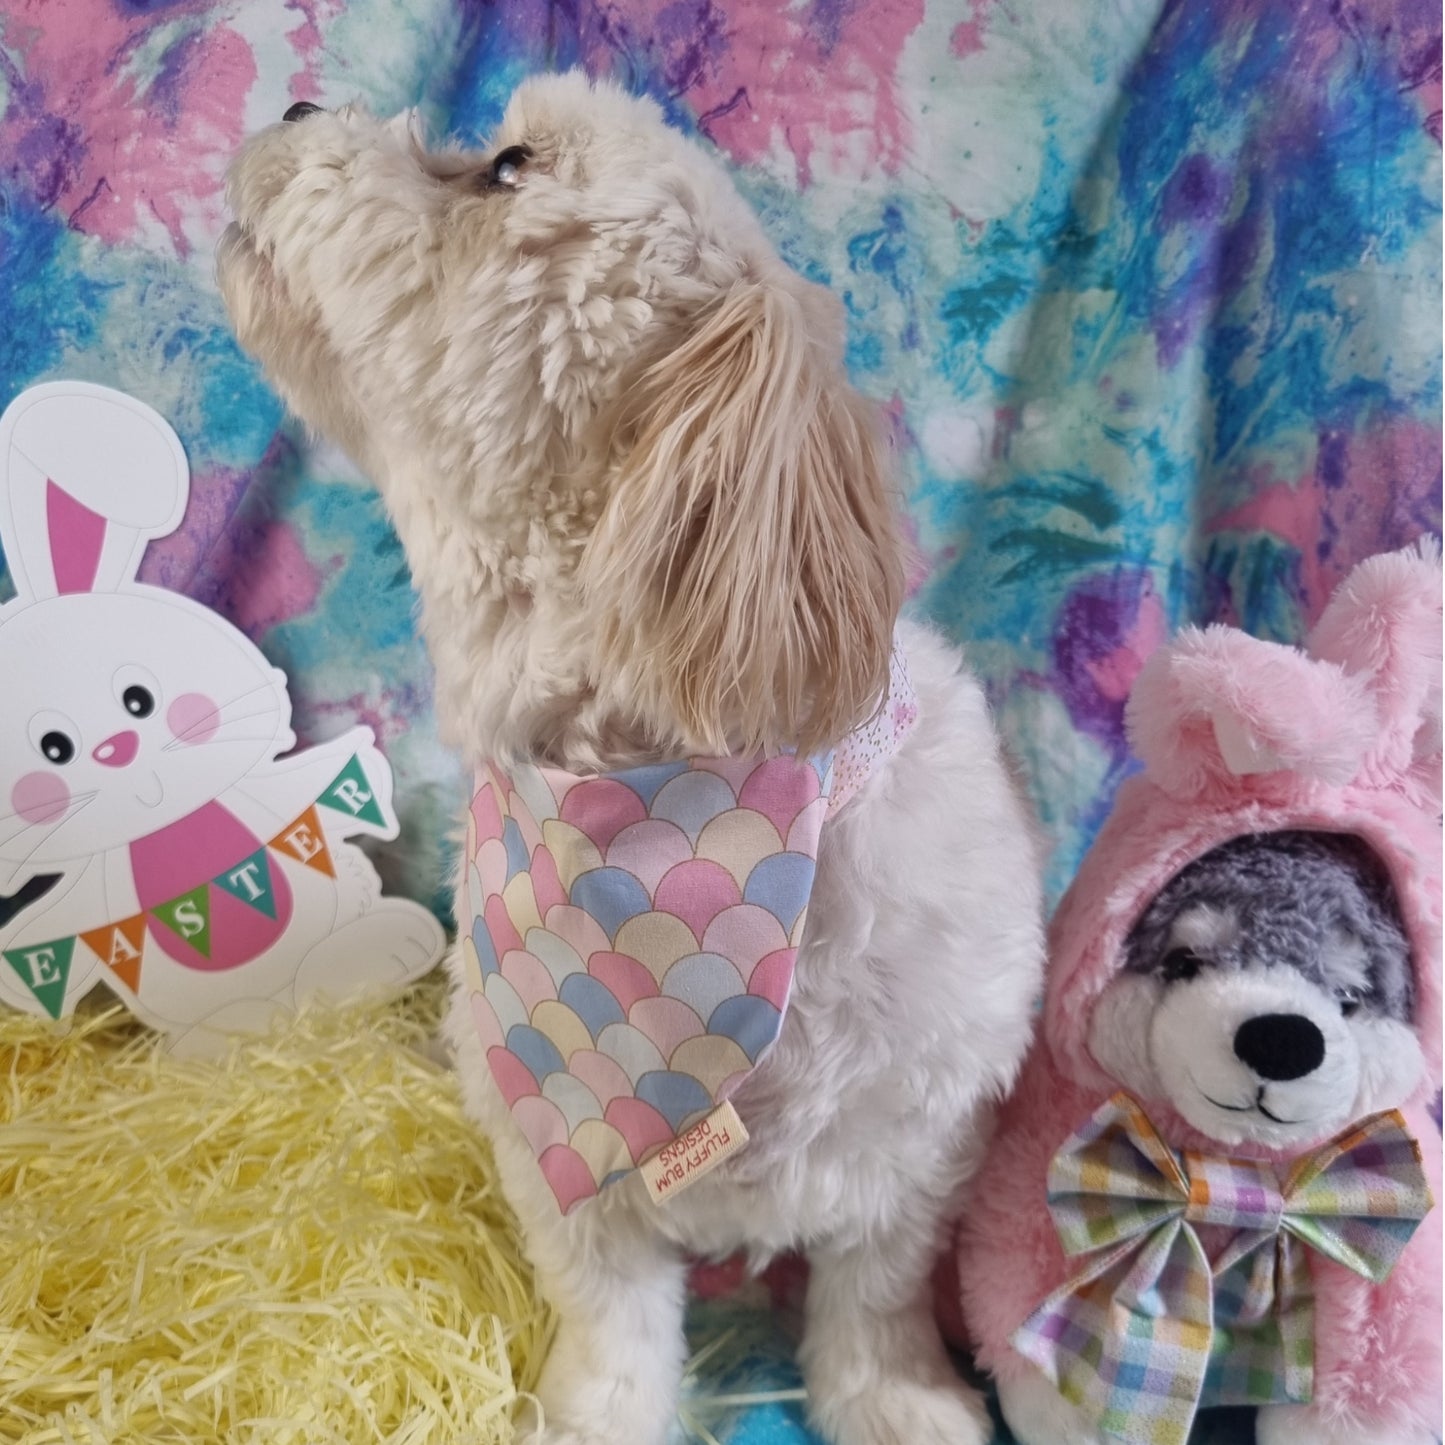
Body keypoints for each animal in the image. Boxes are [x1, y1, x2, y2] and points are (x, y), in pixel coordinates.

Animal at [219, 70, 1046, 1445]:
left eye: (504, 167)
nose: (292, 101)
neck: (658, 806)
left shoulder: (918, 1134)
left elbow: (873, 1293)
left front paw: (894, 1396)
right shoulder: (555, 1142)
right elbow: (610, 1323)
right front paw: (598, 1411)